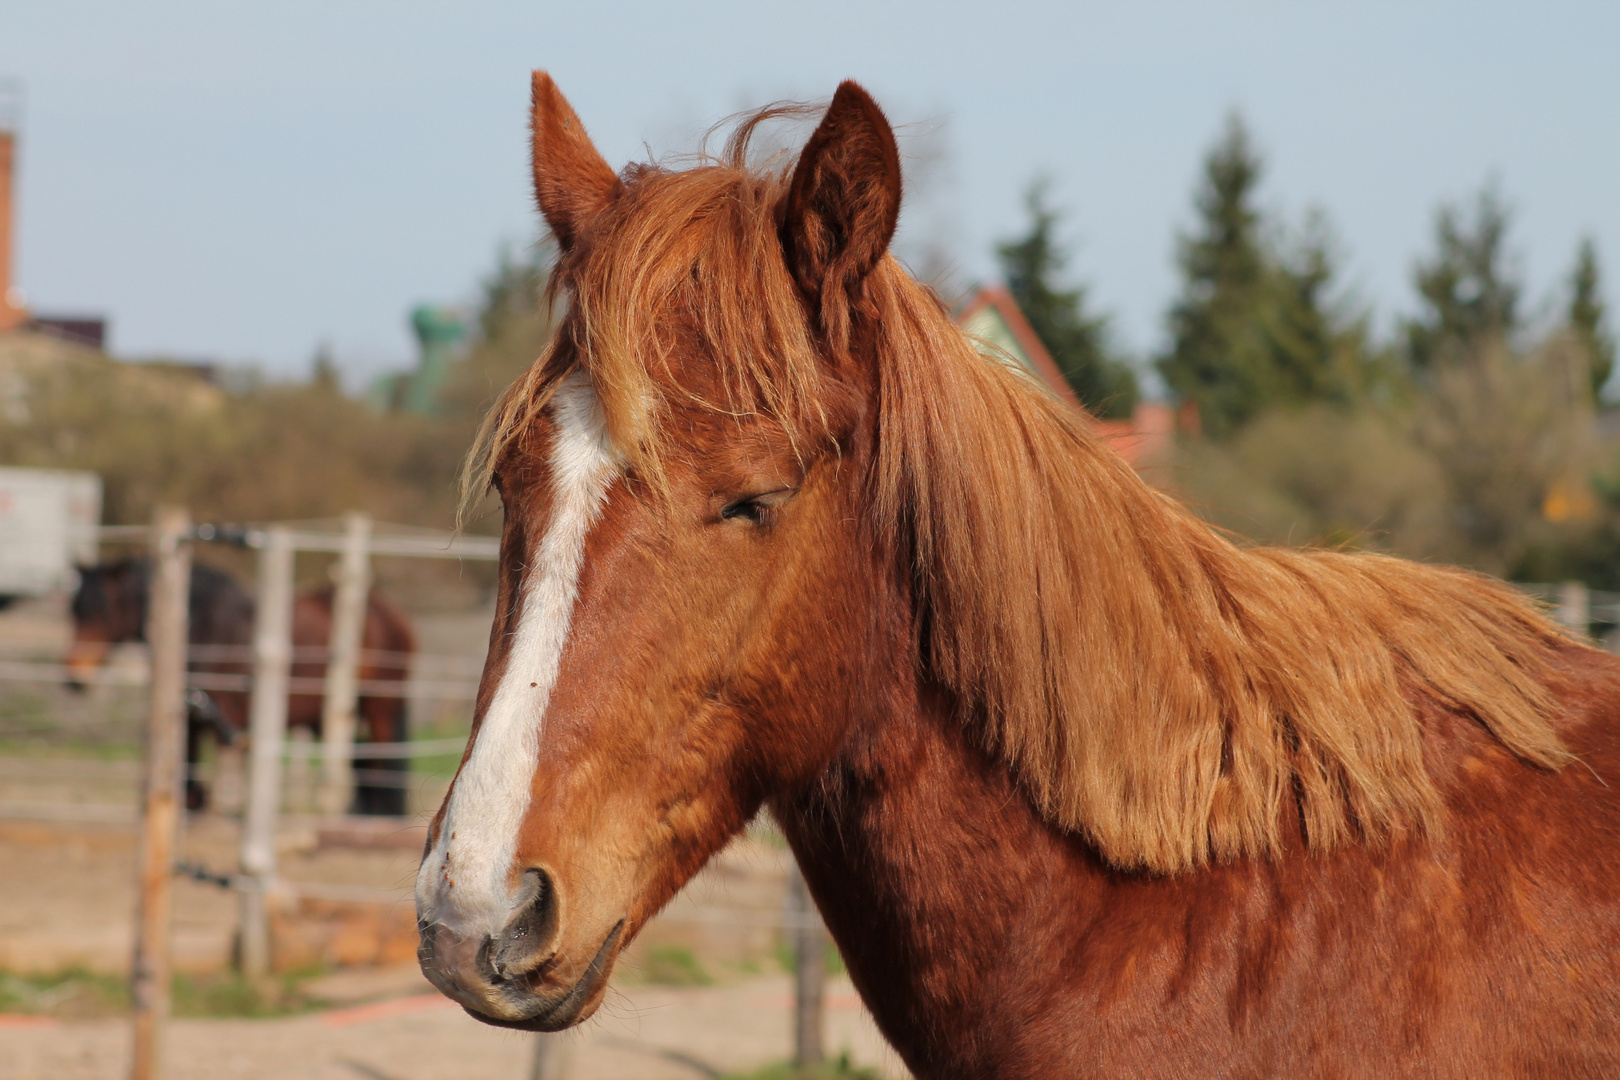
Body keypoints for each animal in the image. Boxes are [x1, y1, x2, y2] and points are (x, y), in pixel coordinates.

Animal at [70, 563, 414, 816]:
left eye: (101, 612)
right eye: (73, 612)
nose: (73, 677)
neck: (203, 626)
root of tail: (391, 612)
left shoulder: (228, 709)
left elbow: (224, 757)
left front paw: (224, 805)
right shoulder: (193, 711)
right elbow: (188, 759)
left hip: (381, 707)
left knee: (381, 762)